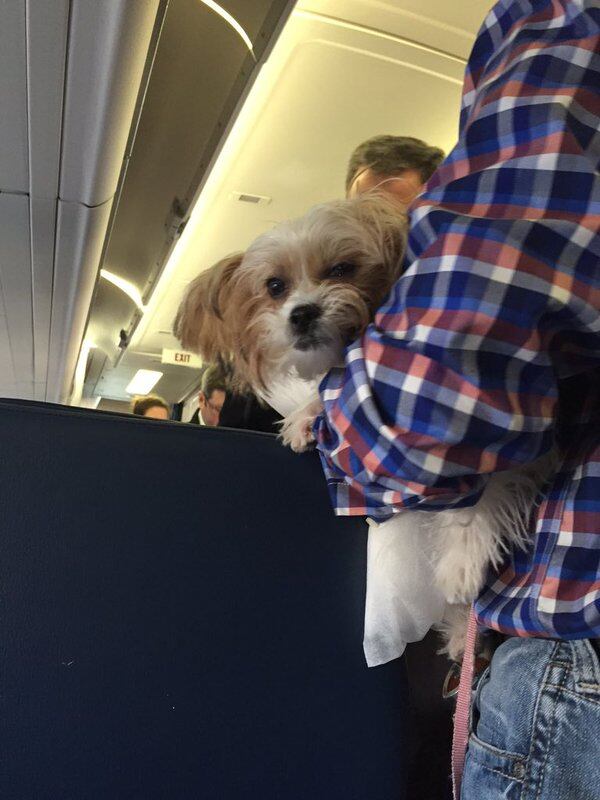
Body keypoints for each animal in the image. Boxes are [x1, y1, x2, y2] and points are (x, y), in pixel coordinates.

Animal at [172, 192, 552, 656]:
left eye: (342, 269)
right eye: (275, 286)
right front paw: (305, 416)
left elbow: (479, 498)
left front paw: (461, 563)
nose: (302, 313)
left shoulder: (505, 423)